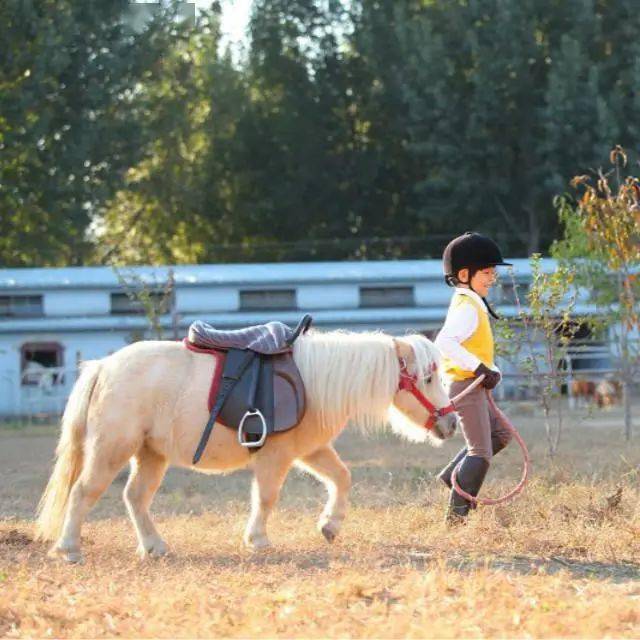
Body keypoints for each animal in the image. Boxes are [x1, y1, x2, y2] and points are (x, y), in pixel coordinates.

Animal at [35, 328, 458, 564]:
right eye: (428, 377)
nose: (451, 422)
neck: (314, 381)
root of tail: (103, 367)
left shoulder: (310, 451)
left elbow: (342, 478)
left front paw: (330, 525)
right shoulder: (277, 456)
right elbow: (266, 498)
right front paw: (258, 540)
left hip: (151, 454)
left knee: (135, 497)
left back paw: (154, 546)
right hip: (112, 450)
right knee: (83, 492)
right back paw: (69, 548)